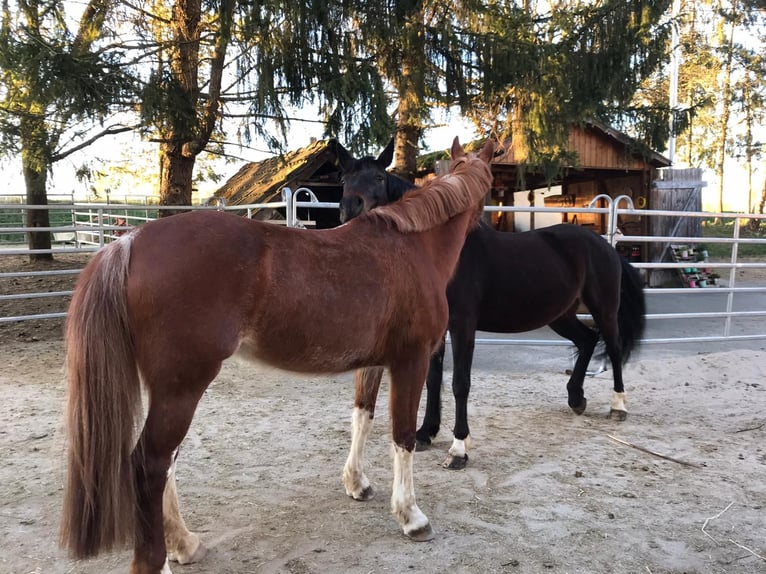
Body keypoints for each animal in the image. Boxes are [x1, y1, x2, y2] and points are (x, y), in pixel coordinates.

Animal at [59, 137, 496, 574]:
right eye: (492, 184)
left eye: (377, 178)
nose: (489, 229)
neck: (411, 245)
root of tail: (128, 241)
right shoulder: (411, 360)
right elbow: (403, 436)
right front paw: (412, 517)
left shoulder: (373, 363)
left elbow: (362, 417)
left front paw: (357, 484)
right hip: (182, 388)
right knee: (150, 465)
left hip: (167, 390)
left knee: (167, 463)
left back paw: (184, 543)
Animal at [336, 140, 646, 470]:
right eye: (344, 178)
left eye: (379, 177)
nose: (350, 208)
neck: (446, 251)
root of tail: (604, 245)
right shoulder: (436, 331)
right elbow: (433, 380)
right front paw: (426, 433)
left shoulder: (463, 325)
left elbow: (460, 382)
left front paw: (459, 448)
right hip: (560, 315)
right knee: (587, 340)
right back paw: (576, 398)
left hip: (603, 309)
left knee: (613, 347)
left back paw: (618, 406)